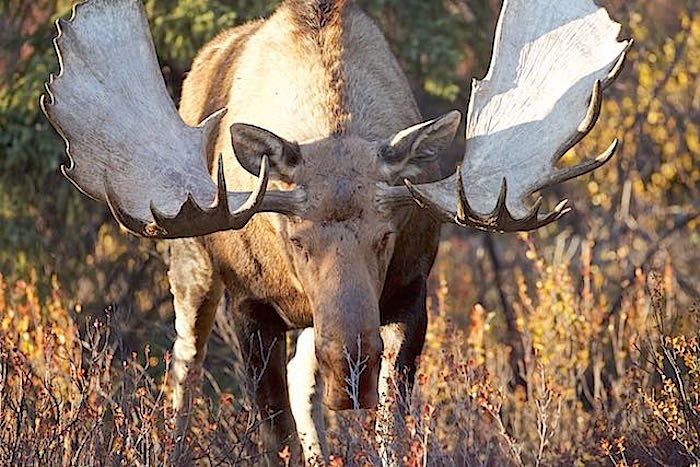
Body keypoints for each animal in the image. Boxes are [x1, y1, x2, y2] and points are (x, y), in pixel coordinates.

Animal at [41, 0, 630, 464]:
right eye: (295, 237)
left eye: (387, 235)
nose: (350, 369)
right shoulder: (250, 304)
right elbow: (273, 437)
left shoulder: (412, 295)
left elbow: (392, 433)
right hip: (191, 264)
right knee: (184, 370)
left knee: (302, 384)